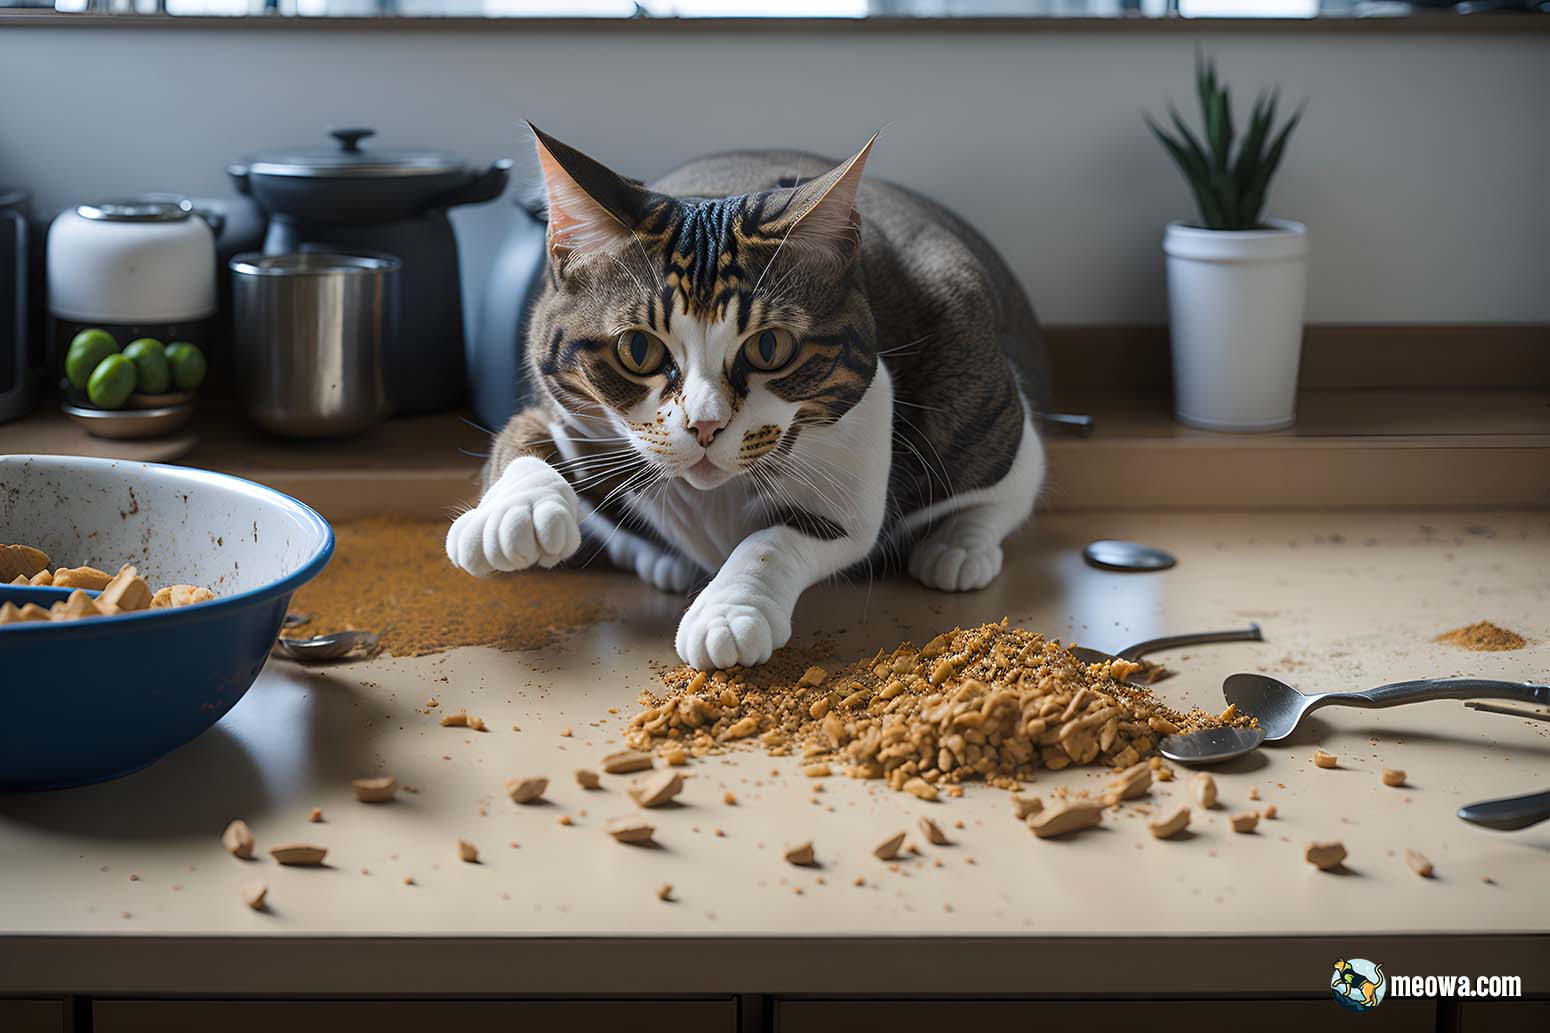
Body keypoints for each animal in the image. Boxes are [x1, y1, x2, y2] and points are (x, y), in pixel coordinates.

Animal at [449, 126, 1054, 666]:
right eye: (638, 349)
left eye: (769, 346)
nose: (704, 425)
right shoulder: (569, 404)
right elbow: (526, 429)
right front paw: (516, 509)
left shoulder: (859, 446)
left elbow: (780, 538)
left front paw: (728, 614)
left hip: (972, 371)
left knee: (1015, 473)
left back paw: (960, 546)